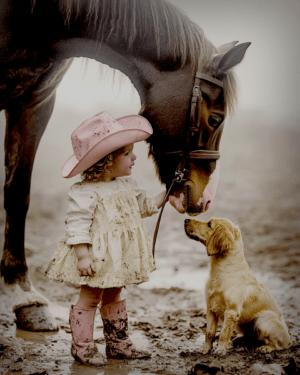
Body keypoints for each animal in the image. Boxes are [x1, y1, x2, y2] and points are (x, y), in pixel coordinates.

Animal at [0, 0, 250, 328]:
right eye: (216, 119)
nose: (207, 198)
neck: (35, 19)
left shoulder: (35, 102)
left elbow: (17, 194)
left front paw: (24, 296)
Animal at [184, 217, 290, 356]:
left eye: (209, 224)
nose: (185, 220)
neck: (220, 271)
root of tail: (290, 339)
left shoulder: (231, 311)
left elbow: (223, 334)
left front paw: (220, 351)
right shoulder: (211, 309)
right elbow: (209, 333)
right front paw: (205, 350)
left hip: (263, 320)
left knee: (281, 345)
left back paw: (266, 348)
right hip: (242, 323)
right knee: (251, 337)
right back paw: (239, 340)